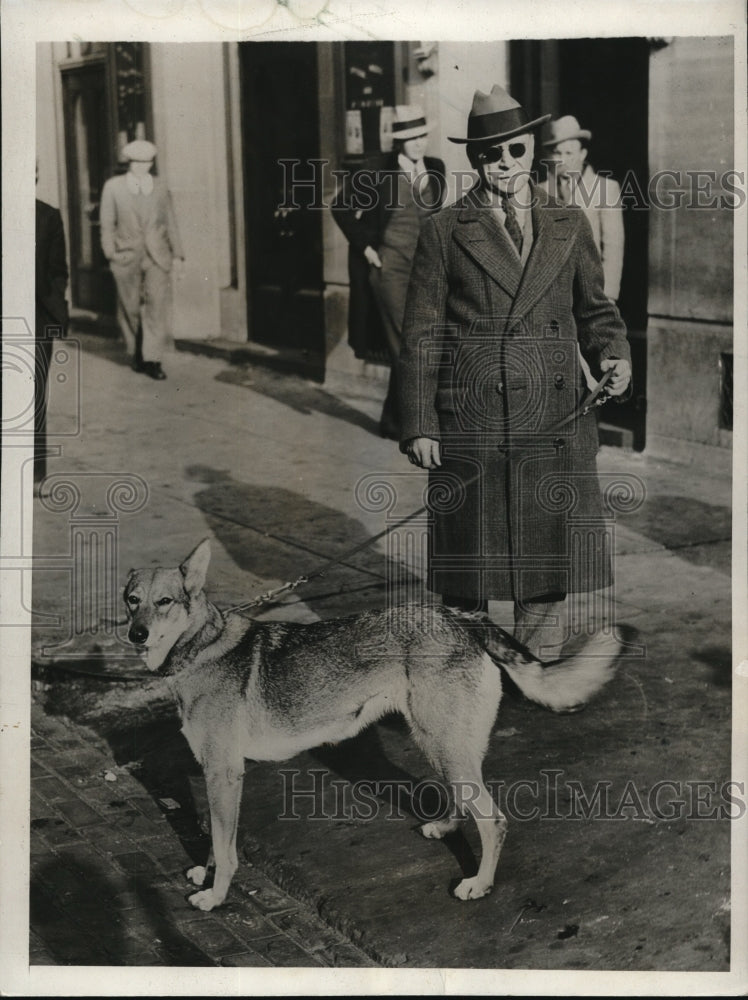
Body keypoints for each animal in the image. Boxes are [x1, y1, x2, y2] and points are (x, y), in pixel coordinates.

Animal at [127, 544, 620, 912]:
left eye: (164, 602)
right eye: (132, 600)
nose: (136, 634)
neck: (199, 648)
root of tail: (459, 618)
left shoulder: (224, 774)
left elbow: (226, 848)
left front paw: (214, 895)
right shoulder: (218, 777)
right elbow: (216, 838)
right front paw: (206, 874)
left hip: (442, 743)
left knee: (493, 820)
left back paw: (478, 884)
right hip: (438, 743)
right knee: (465, 800)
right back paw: (445, 828)